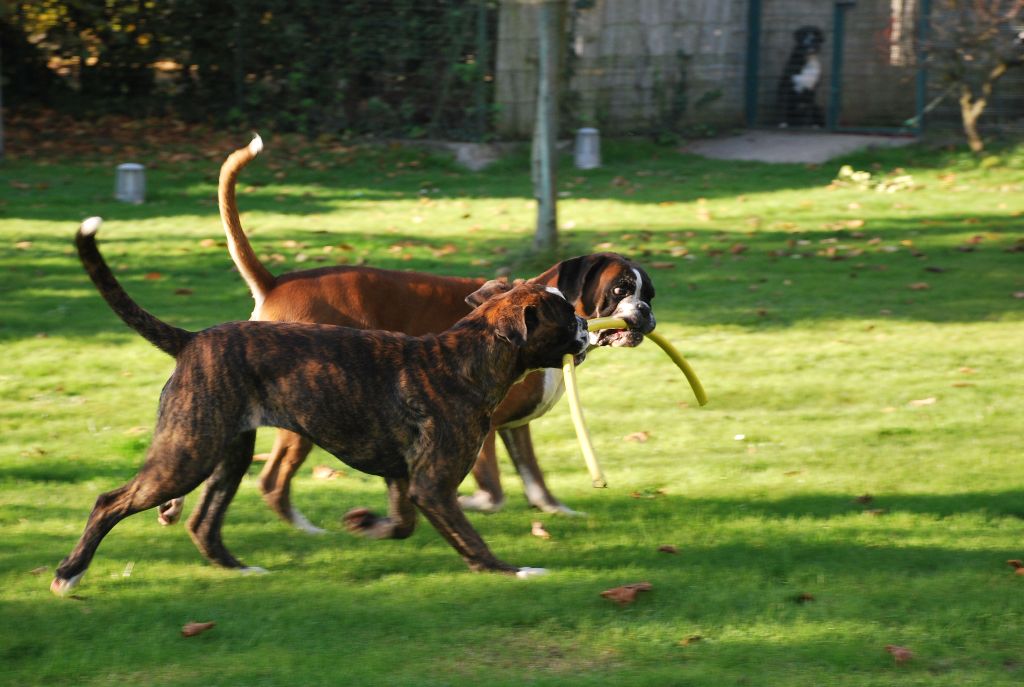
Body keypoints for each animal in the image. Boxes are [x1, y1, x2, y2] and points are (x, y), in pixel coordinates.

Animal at [49, 218, 593, 593]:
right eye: (566, 316)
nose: (589, 327)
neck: (465, 357)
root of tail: (192, 340)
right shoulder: (432, 486)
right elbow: (471, 540)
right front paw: (513, 571)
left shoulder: (404, 480)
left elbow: (401, 525)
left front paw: (366, 527)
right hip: (186, 456)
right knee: (109, 502)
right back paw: (69, 574)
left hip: (227, 456)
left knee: (203, 523)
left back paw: (241, 570)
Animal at [156, 134, 659, 532]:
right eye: (620, 289)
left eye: (649, 292)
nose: (645, 313)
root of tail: (277, 281)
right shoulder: (485, 426)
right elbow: (492, 492)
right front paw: (467, 502)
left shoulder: (515, 429)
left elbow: (535, 481)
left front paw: (556, 509)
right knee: (272, 478)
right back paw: (308, 530)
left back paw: (174, 506)